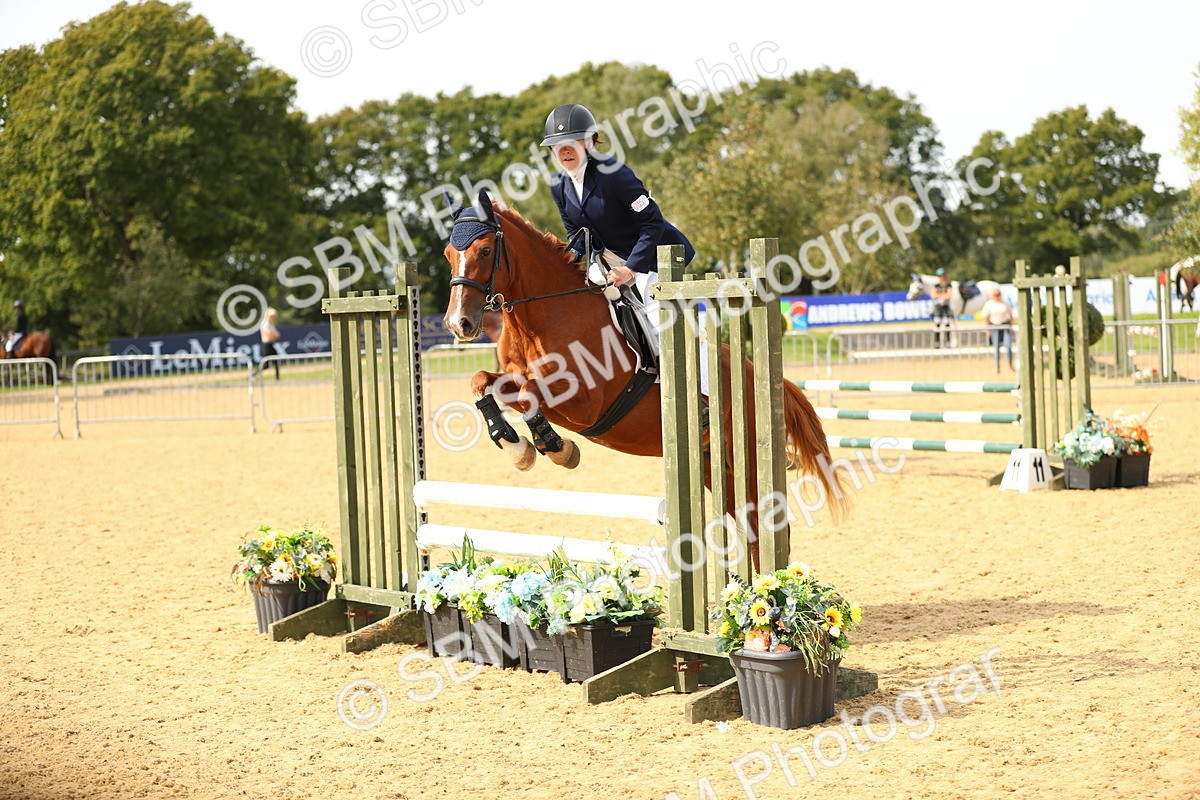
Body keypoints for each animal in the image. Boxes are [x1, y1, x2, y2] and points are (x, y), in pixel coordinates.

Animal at [440, 193, 846, 571]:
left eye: (486, 250)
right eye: (448, 254)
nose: (459, 324)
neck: (545, 313)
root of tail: (757, 373)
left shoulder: (583, 403)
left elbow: (529, 394)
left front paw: (556, 448)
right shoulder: (517, 379)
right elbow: (482, 382)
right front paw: (515, 445)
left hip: (744, 454)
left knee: (769, 525)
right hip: (714, 463)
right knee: (752, 527)